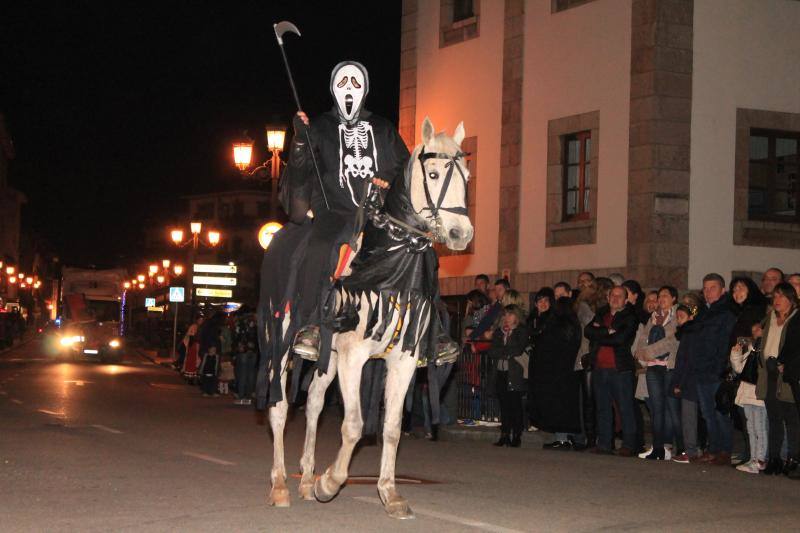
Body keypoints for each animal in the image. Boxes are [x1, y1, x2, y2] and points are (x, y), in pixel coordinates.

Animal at [266, 117, 472, 520]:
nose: (462, 234)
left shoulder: (402, 360)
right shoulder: (353, 357)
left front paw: (389, 492)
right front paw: (330, 482)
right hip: (281, 342)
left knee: (313, 403)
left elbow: (391, 427)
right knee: (280, 407)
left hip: (325, 356)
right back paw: (282, 484)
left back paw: (304, 480)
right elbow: (354, 425)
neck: (388, 265)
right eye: (434, 173)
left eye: (466, 176)